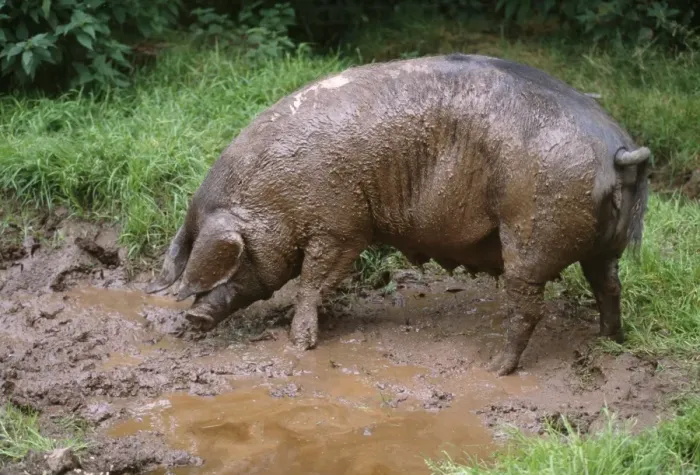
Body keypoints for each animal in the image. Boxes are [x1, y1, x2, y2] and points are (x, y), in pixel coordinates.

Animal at [146, 54, 650, 376]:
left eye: (233, 262)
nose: (190, 319)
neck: (275, 194)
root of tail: (617, 148)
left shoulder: (341, 225)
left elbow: (313, 279)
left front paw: (299, 344)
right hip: (604, 245)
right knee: (610, 286)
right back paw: (608, 342)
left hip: (531, 233)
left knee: (527, 306)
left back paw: (494, 368)